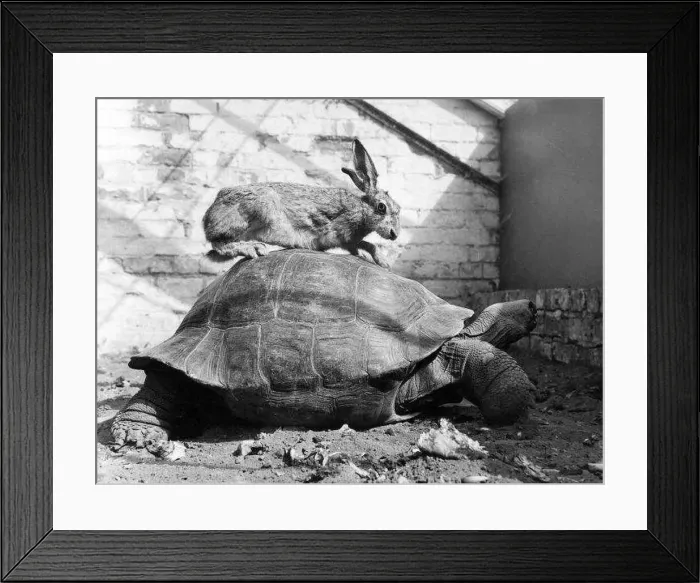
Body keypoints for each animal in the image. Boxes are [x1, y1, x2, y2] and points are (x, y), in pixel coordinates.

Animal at [202, 139, 401, 269]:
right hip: (259, 209)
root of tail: (208, 217)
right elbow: (364, 245)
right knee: (219, 244)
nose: (394, 235)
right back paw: (253, 248)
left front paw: (381, 262)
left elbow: (366, 245)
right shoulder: (344, 236)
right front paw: (381, 262)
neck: (361, 210)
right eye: (381, 207)